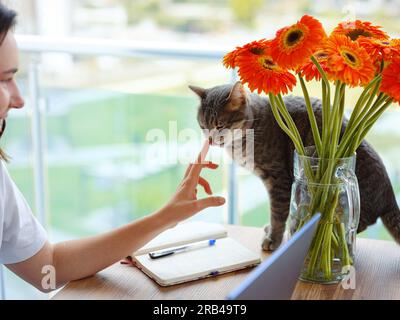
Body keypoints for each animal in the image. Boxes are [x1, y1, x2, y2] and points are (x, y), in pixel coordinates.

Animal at [189, 81, 398, 251]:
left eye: (220, 125)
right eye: (203, 126)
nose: (210, 139)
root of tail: (389, 195)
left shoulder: (278, 178)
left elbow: (278, 212)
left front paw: (273, 238)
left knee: (348, 226)